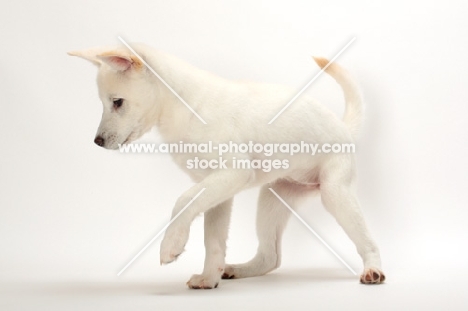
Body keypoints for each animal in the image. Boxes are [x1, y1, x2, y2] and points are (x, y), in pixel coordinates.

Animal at [68, 44, 384, 290]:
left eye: (117, 102)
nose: (97, 142)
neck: (185, 107)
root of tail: (343, 127)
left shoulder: (231, 174)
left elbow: (182, 201)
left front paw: (171, 245)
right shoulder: (218, 192)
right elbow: (213, 240)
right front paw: (209, 278)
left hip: (335, 194)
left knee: (367, 241)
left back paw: (373, 270)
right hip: (272, 200)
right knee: (271, 257)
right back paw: (240, 269)